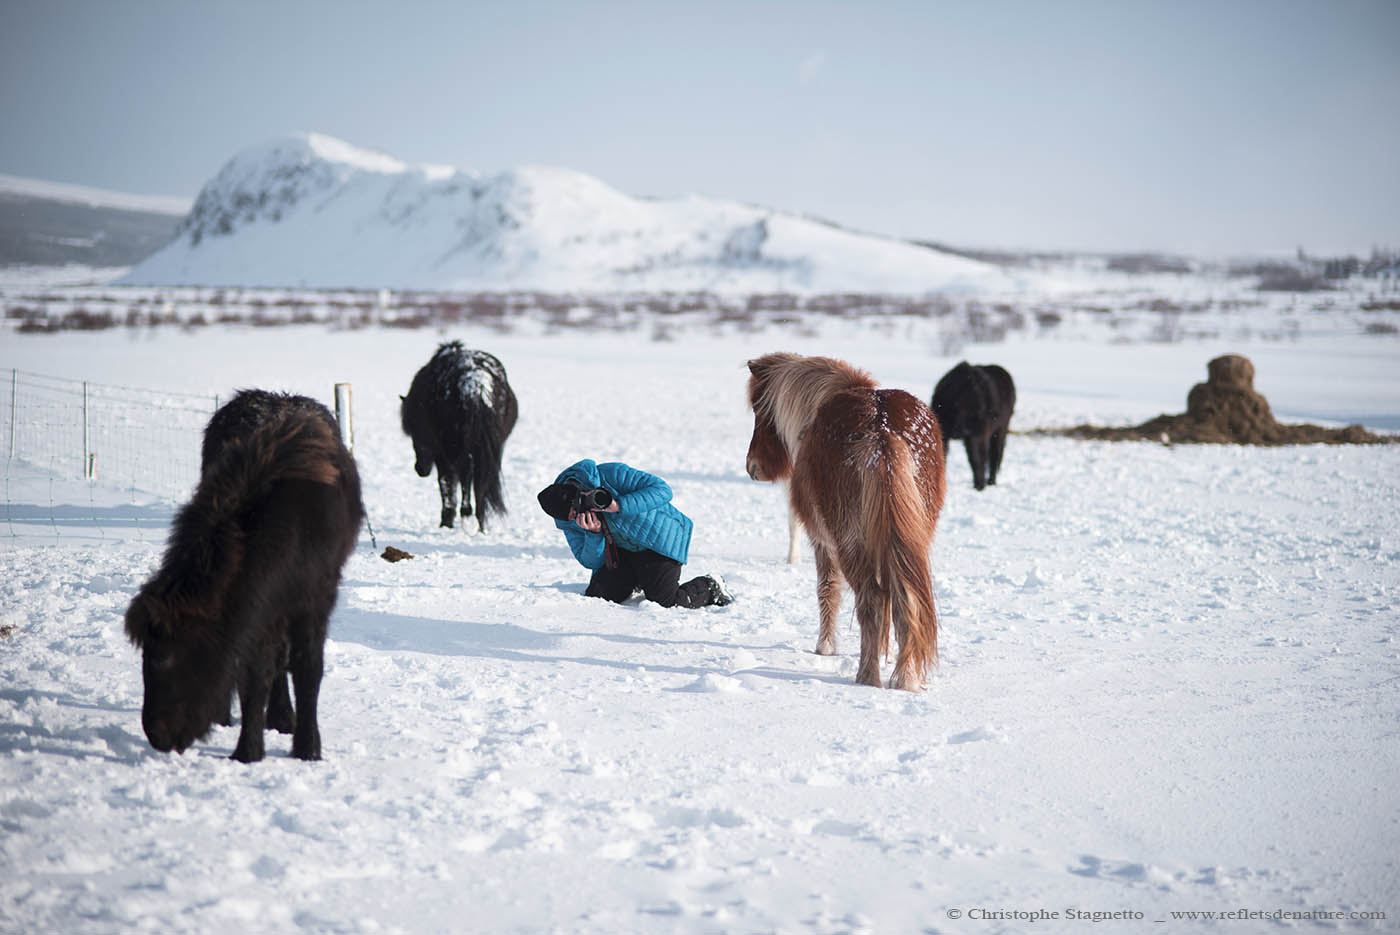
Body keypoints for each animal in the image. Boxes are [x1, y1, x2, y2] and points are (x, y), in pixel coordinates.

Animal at [126, 400, 364, 761]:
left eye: (164, 657)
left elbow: (308, 669)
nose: (157, 735)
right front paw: (248, 751)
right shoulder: (260, 611)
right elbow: (255, 676)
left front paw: (307, 748)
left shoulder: (314, 601)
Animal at [400, 342, 520, 531]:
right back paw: (480, 525)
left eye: (414, 431)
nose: (420, 469)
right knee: (480, 484)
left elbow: (447, 483)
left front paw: (447, 520)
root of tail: (476, 384)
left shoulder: (442, 454)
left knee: (459, 477)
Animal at [744, 354, 952, 691]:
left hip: (850, 542)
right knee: (905, 599)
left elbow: (827, 588)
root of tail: (881, 431)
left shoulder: (822, 541)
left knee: (871, 598)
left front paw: (825, 648)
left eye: (758, 409)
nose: (753, 467)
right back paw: (904, 678)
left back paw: (867, 677)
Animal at [929, 361, 1019, 492]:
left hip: (1000, 431)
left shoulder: (977, 436)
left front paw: (980, 486)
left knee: (995, 455)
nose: (961, 432)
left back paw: (990, 482)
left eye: (978, 410)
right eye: (953, 408)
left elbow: (977, 459)